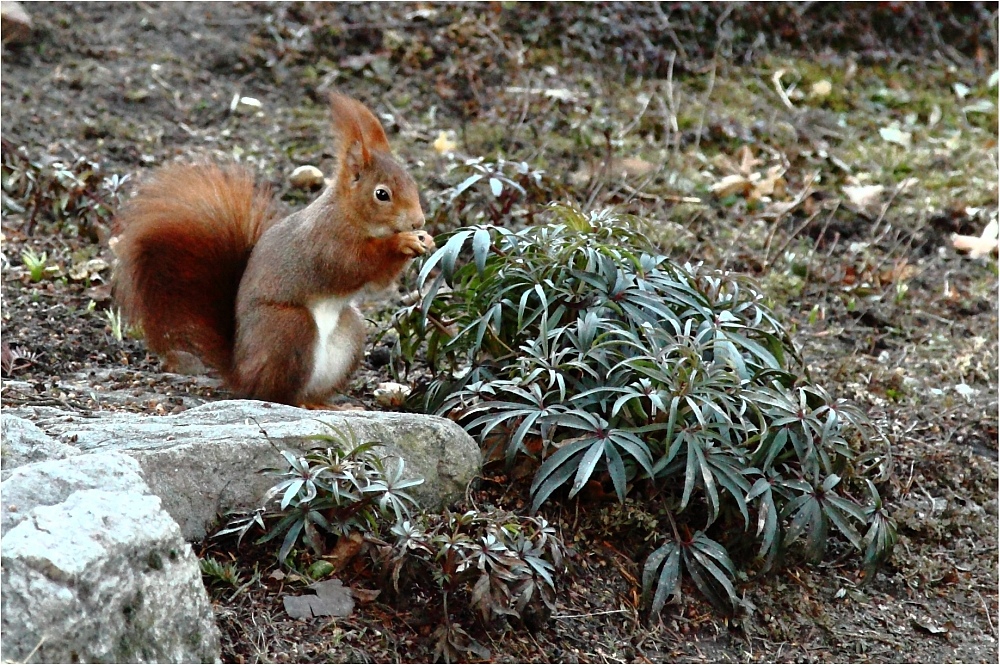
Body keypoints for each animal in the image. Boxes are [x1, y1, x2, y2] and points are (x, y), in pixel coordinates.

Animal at [110, 92, 434, 404]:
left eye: (412, 182)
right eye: (382, 194)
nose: (418, 220)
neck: (349, 214)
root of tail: (240, 372)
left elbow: (379, 280)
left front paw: (424, 240)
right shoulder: (327, 241)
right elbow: (353, 264)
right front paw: (403, 242)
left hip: (349, 330)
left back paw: (326, 402)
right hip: (289, 327)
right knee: (277, 394)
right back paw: (301, 402)